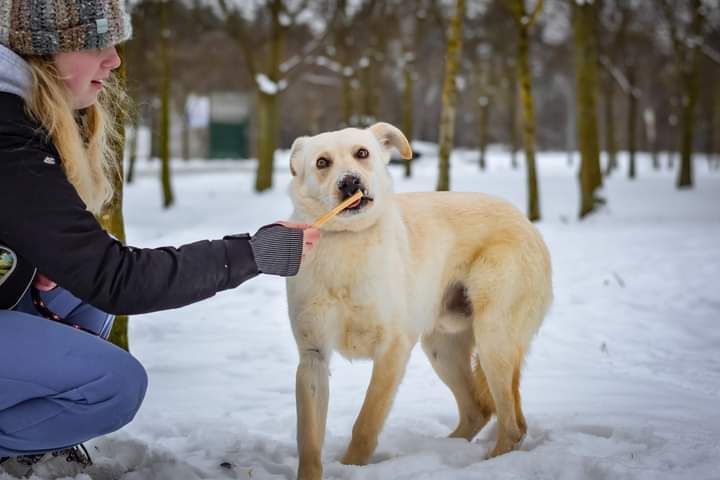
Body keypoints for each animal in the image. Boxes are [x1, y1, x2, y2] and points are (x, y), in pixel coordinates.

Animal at [286, 122, 552, 478]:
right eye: (322, 163)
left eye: (362, 153)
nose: (350, 182)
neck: (347, 241)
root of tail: (526, 221)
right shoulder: (312, 357)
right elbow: (309, 441)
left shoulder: (393, 349)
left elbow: (366, 423)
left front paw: (351, 466)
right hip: (442, 348)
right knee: (478, 411)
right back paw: (445, 450)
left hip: (493, 339)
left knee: (512, 426)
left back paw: (489, 462)